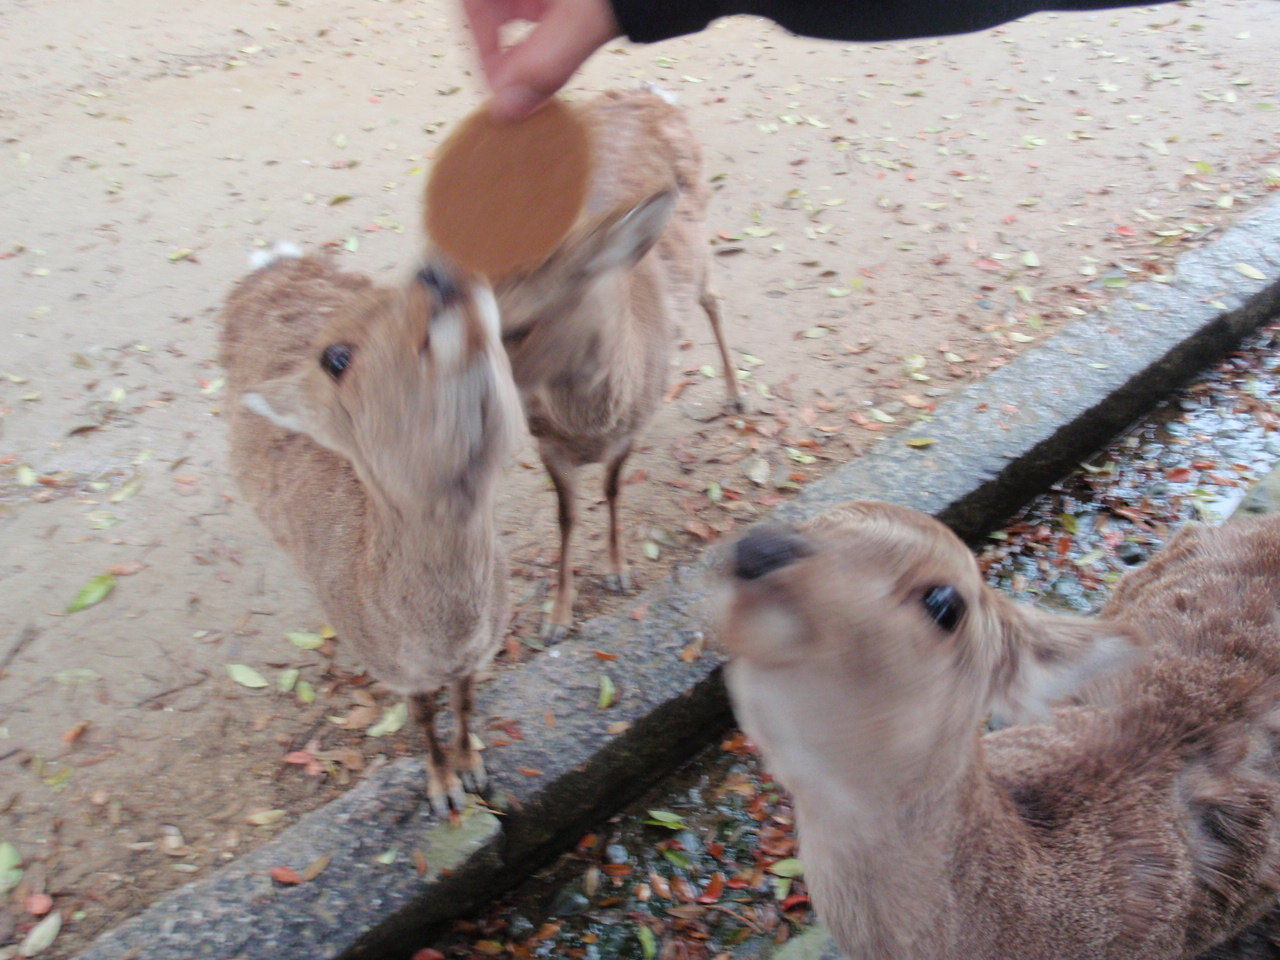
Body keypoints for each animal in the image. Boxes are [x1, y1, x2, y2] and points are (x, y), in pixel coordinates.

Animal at [219, 242, 523, 816]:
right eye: (335, 358)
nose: (435, 269)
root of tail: (268, 264)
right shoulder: (394, 668)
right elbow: (422, 715)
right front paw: (443, 791)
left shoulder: (480, 651)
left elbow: (465, 699)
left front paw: (474, 769)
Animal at [486, 88, 741, 641]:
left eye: (518, 328)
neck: (592, 425)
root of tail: (653, 92)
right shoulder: (548, 445)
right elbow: (566, 517)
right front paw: (556, 617)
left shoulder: (633, 427)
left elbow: (613, 490)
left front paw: (619, 573)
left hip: (701, 234)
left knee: (713, 297)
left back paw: (737, 395)